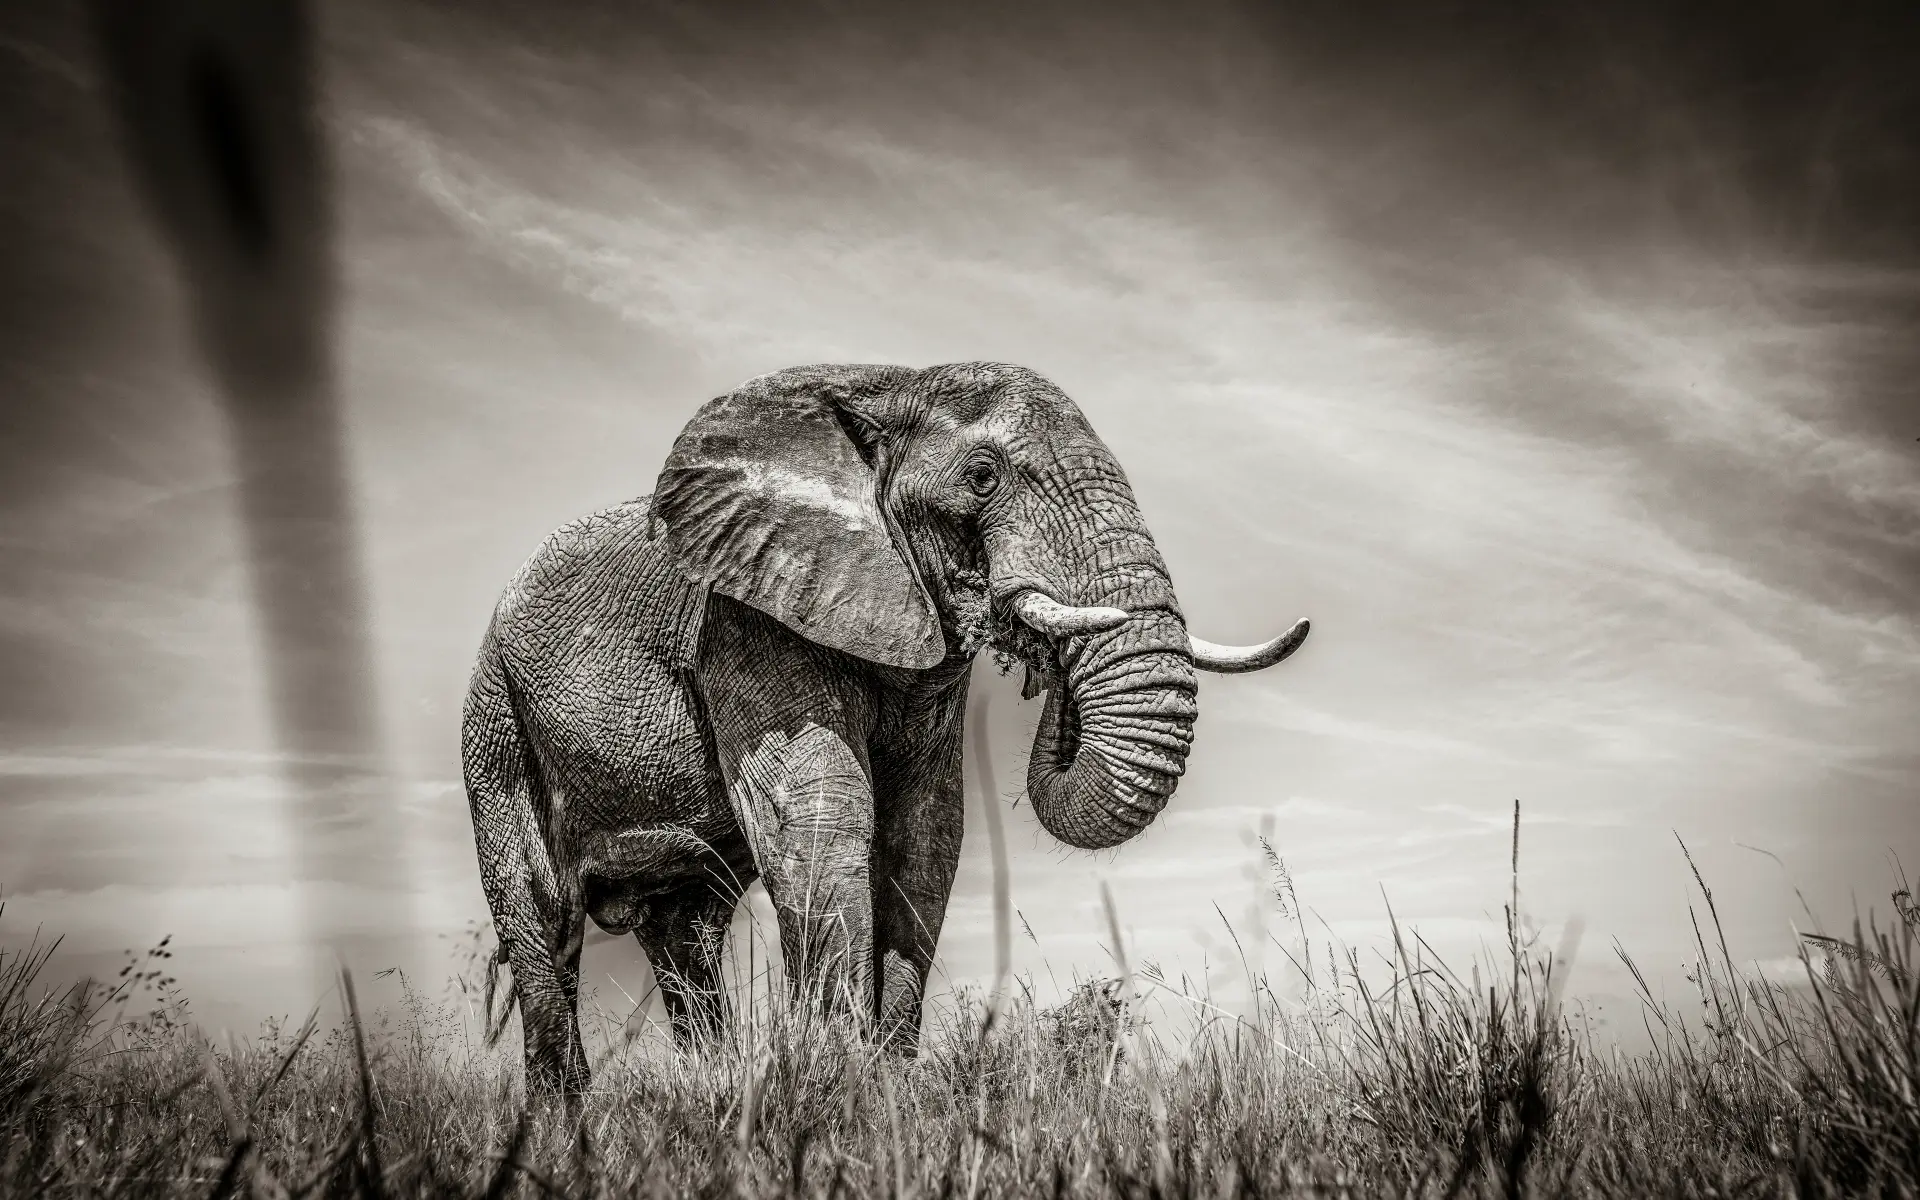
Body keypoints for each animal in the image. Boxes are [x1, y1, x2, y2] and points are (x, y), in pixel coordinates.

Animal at [461, 361, 1308, 1095]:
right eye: (982, 476)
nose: (1045, 668)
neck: (890, 385)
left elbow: (924, 835)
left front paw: (886, 1093)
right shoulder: (745, 621)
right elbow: (824, 816)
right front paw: (833, 1085)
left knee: (687, 932)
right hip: (494, 721)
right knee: (544, 915)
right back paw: (563, 1125)